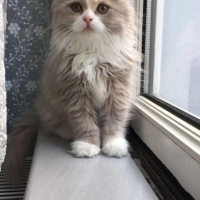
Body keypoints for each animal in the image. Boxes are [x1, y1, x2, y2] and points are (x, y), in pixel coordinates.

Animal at [5, 0, 141, 184]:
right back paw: (67, 132)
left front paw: (113, 144)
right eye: (76, 7)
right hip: (49, 109)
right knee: (53, 125)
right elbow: (84, 122)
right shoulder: (76, 95)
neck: (93, 54)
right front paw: (87, 145)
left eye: (102, 9)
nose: (88, 19)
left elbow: (115, 120)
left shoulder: (118, 92)